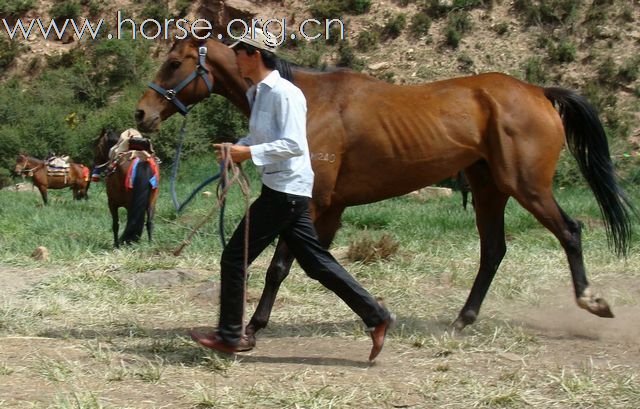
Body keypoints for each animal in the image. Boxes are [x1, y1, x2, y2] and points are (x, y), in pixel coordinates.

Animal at [132, 38, 632, 344]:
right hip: (489, 188)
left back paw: (592, 301)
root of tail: (538, 92)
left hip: (526, 186)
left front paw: (254, 326)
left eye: (174, 63)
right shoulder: (328, 209)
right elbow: (311, 267)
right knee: (493, 250)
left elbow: (280, 267)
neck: (308, 101)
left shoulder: (314, 203)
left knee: (569, 232)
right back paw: (461, 320)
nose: (141, 114)